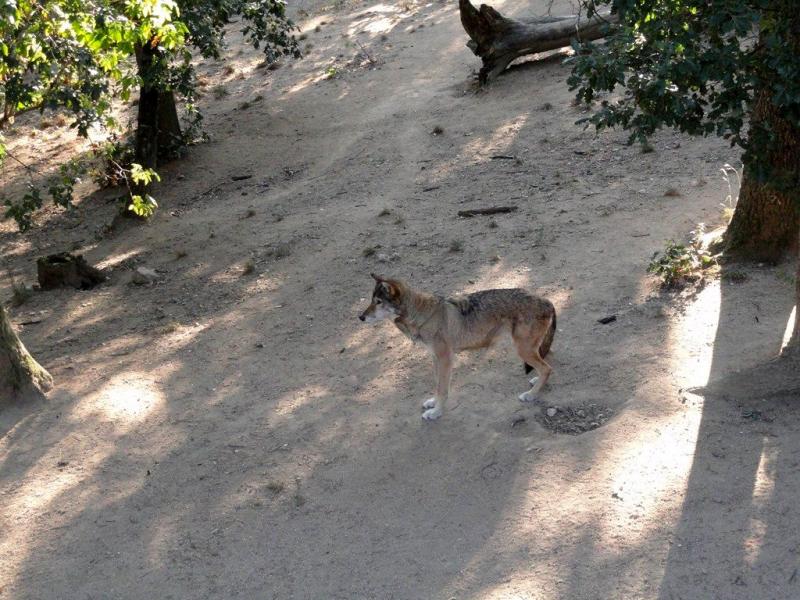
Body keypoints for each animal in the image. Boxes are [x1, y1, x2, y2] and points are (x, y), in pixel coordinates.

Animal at [359, 274, 556, 420]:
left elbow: (443, 389)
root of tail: (546, 300)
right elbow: (437, 384)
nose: (360, 317)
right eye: (371, 300)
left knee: (547, 368)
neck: (422, 315)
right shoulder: (435, 358)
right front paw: (433, 403)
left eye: (378, 302)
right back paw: (536, 382)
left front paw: (436, 413)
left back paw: (531, 394)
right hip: (530, 348)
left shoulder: (445, 359)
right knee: (548, 361)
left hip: (523, 349)